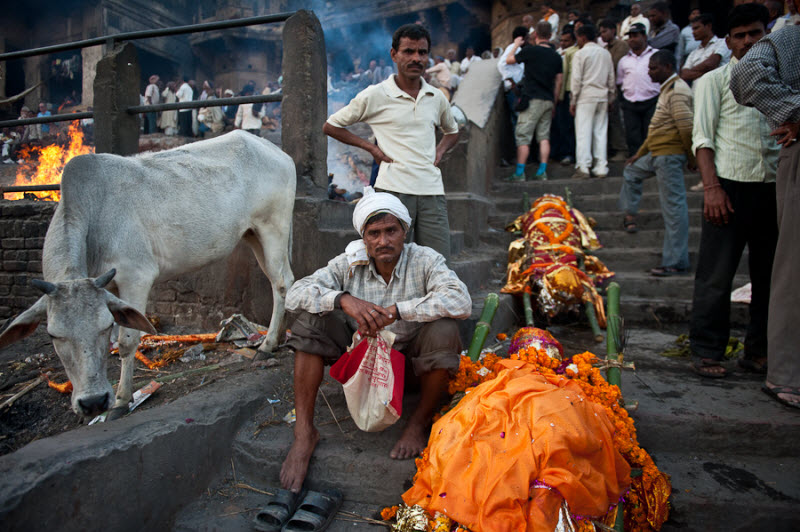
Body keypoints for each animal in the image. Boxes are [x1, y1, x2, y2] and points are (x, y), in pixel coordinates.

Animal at [0, 130, 296, 420]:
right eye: (53, 335)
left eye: (104, 326)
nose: (94, 402)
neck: (93, 218)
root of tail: (273, 148)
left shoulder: (136, 277)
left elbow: (127, 341)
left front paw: (121, 400)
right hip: (253, 234)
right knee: (284, 280)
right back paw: (279, 336)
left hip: (273, 228)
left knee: (281, 283)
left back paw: (267, 345)